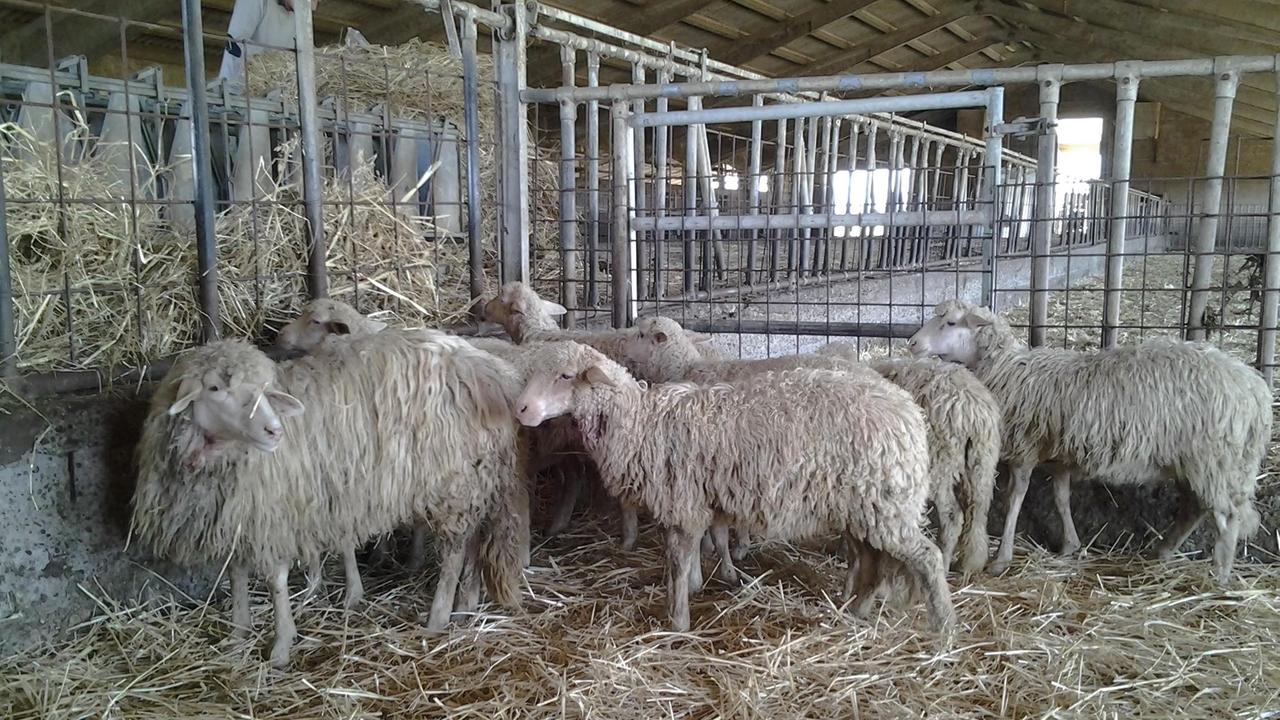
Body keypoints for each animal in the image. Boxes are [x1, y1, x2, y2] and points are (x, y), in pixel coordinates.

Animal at [131, 331, 527, 667]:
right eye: (214, 388)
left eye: (265, 389)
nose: (274, 431)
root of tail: (489, 371)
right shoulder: (239, 515)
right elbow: (236, 574)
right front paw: (238, 634)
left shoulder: (276, 512)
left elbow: (275, 580)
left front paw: (281, 645)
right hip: (474, 478)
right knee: (473, 540)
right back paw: (465, 604)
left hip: (453, 482)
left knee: (454, 551)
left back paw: (439, 615)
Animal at [513, 341, 955, 633]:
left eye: (565, 376)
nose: (521, 410)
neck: (642, 424)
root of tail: (908, 412)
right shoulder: (696, 502)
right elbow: (699, 548)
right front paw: (697, 587)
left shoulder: (683, 502)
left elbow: (677, 561)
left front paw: (677, 620)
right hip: (864, 506)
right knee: (874, 560)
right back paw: (857, 610)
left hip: (886, 503)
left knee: (926, 558)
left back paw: (943, 629)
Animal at [818, 343, 1001, 575]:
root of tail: (973, 410)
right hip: (982, 462)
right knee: (978, 510)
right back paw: (971, 562)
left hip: (939, 463)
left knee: (953, 516)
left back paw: (945, 562)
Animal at [907, 299, 1272, 582]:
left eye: (950, 322)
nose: (912, 343)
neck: (1006, 369)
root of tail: (1256, 392)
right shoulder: (1060, 455)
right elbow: (1062, 498)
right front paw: (1070, 545)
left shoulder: (1026, 448)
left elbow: (1015, 499)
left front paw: (1002, 558)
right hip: (1195, 461)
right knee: (1194, 509)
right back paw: (1163, 552)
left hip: (1214, 459)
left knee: (1227, 516)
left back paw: (1220, 575)